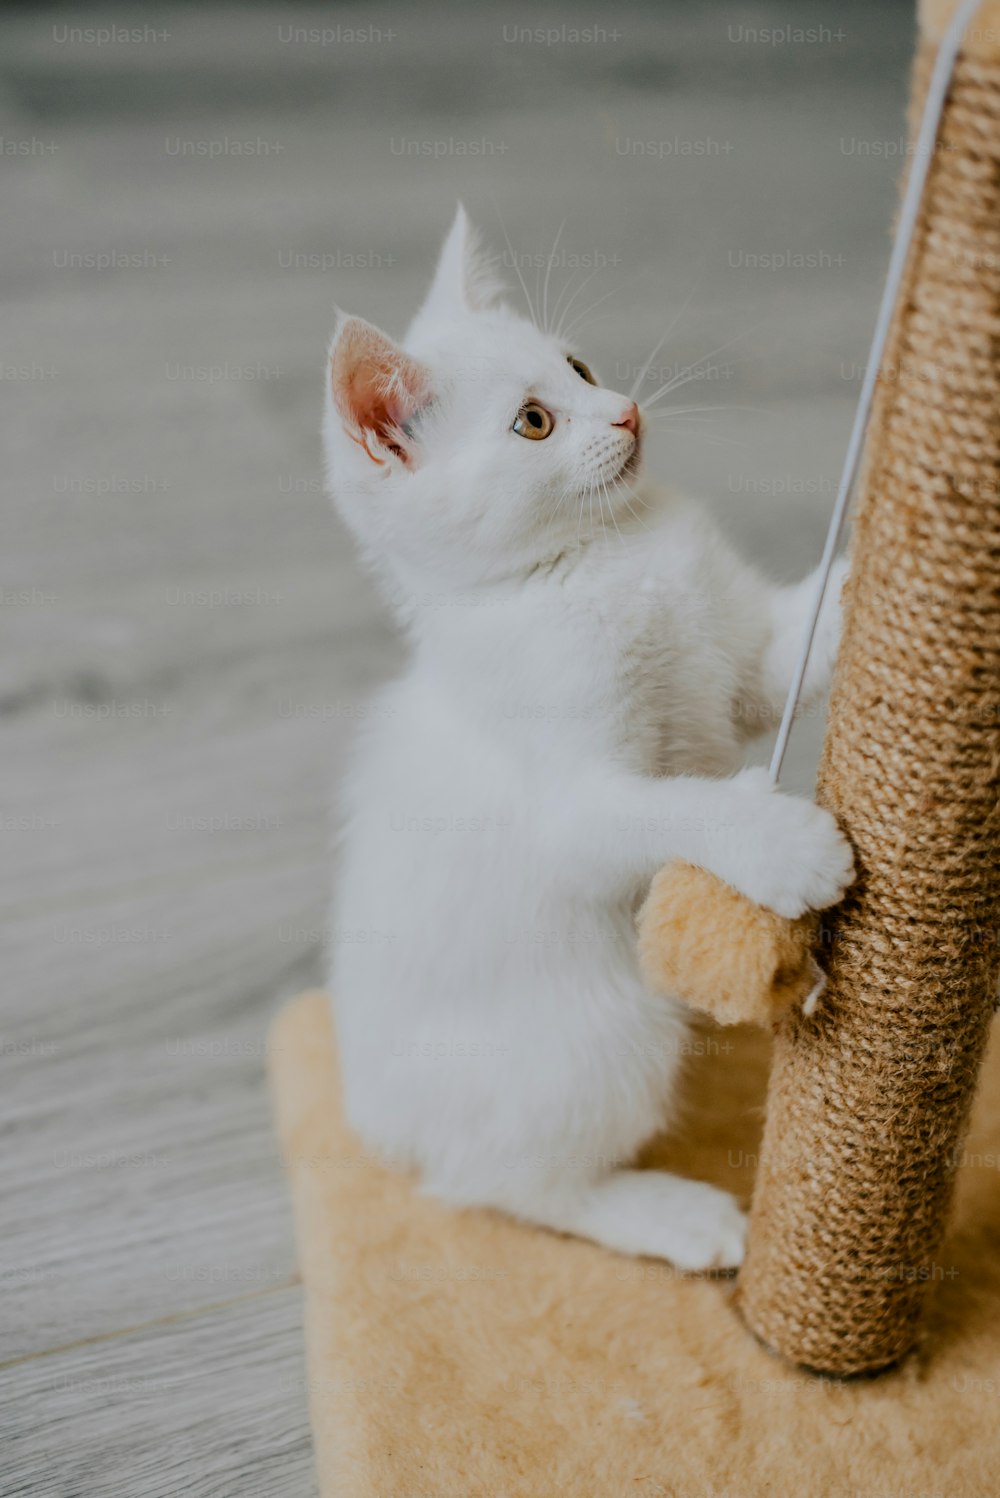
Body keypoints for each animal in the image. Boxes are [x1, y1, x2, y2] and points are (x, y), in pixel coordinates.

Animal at [321, 205, 850, 1270]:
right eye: (535, 421)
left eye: (579, 365)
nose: (628, 413)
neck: (606, 556)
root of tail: (379, 1118)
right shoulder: (570, 803)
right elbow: (675, 805)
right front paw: (782, 846)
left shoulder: (737, 674)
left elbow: (786, 655)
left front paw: (863, 584)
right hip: (603, 1031)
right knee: (501, 1186)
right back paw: (668, 1214)